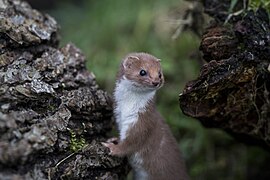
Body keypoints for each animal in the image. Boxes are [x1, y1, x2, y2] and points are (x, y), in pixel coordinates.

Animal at [102, 52, 189, 180]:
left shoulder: (142, 122)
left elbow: (131, 142)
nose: (156, 81)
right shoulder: (118, 116)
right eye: (142, 72)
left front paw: (111, 147)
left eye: (160, 73)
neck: (126, 109)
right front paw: (114, 139)